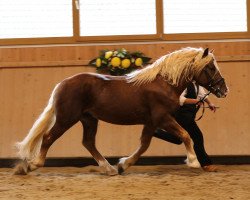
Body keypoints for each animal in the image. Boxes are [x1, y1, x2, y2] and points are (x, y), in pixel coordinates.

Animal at [13, 47, 229, 175]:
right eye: (211, 67)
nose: (224, 90)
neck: (163, 83)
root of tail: (62, 84)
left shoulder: (151, 122)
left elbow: (144, 145)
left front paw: (123, 164)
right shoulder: (162, 118)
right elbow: (185, 135)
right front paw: (193, 161)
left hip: (89, 119)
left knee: (88, 142)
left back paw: (108, 168)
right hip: (67, 118)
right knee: (48, 137)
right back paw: (32, 165)